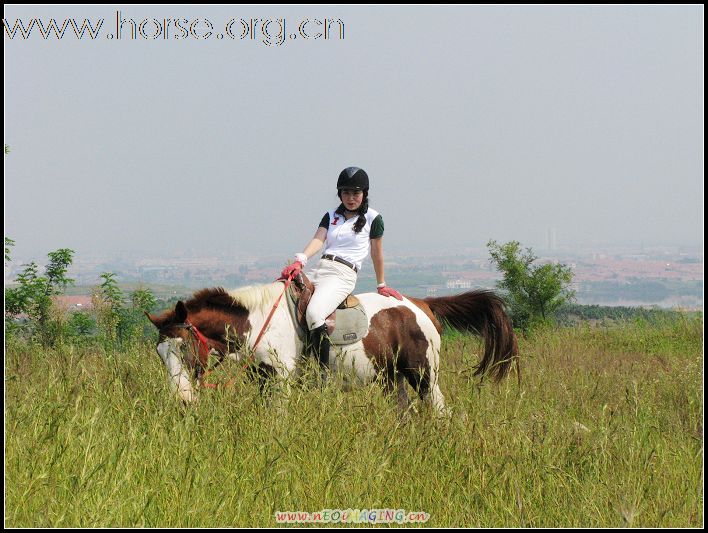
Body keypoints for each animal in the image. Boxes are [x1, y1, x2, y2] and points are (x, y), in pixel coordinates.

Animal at [145, 278, 520, 412]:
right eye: (160, 355)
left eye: (183, 348)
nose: (182, 400)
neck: (260, 322)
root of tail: (421, 304)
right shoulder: (264, 381)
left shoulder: (281, 381)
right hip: (393, 378)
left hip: (424, 374)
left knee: (439, 409)